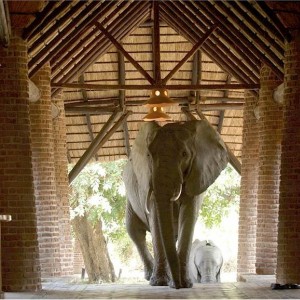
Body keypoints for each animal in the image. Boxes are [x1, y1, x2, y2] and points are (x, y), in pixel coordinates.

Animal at [123, 120, 229, 290]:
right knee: (134, 231)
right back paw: (151, 276)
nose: (177, 285)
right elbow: (155, 219)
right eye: (149, 155)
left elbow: (188, 215)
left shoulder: (198, 173)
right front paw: (159, 283)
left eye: (185, 154)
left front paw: (184, 284)